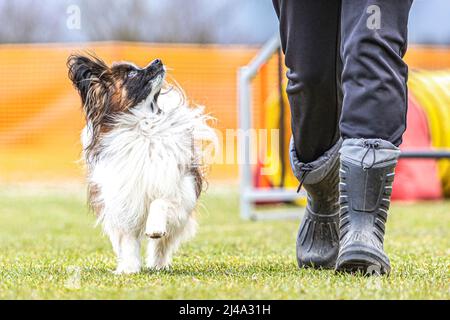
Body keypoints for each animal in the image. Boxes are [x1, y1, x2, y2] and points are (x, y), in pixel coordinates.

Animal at [67, 53, 218, 274]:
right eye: (131, 74)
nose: (158, 60)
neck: (143, 125)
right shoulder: (124, 200)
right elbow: (128, 240)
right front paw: (129, 268)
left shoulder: (179, 190)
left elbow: (160, 202)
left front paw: (154, 228)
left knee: (163, 243)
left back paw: (158, 264)